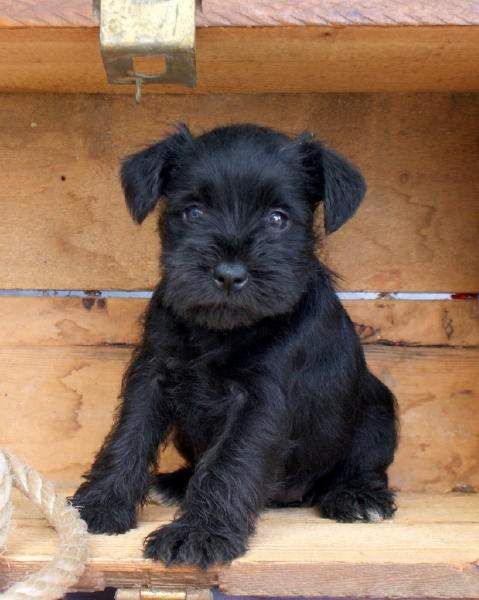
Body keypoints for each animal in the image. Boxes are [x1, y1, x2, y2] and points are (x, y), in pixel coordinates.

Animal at [70, 123, 398, 568]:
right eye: (194, 212)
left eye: (278, 218)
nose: (228, 274)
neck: (222, 330)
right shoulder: (152, 374)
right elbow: (129, 436)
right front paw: (101, 503)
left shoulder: (258, 400)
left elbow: (229, 463)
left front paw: (199, 533)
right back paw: (176, 483)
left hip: (378, 411)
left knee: (365, 464)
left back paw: (359, 497)